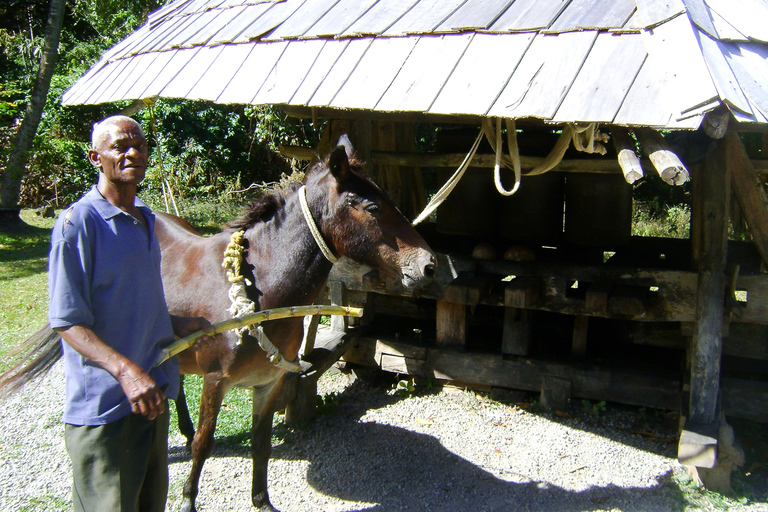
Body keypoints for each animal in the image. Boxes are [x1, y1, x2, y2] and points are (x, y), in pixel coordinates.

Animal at [0, 140, 436, 512]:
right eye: (372, 207)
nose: (430, 265)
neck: (261, 293)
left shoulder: (269, 383)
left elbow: (260, 444)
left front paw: (261, 500)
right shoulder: (215, 381)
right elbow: (204, 445)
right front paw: (188, 500)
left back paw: (181, 425)